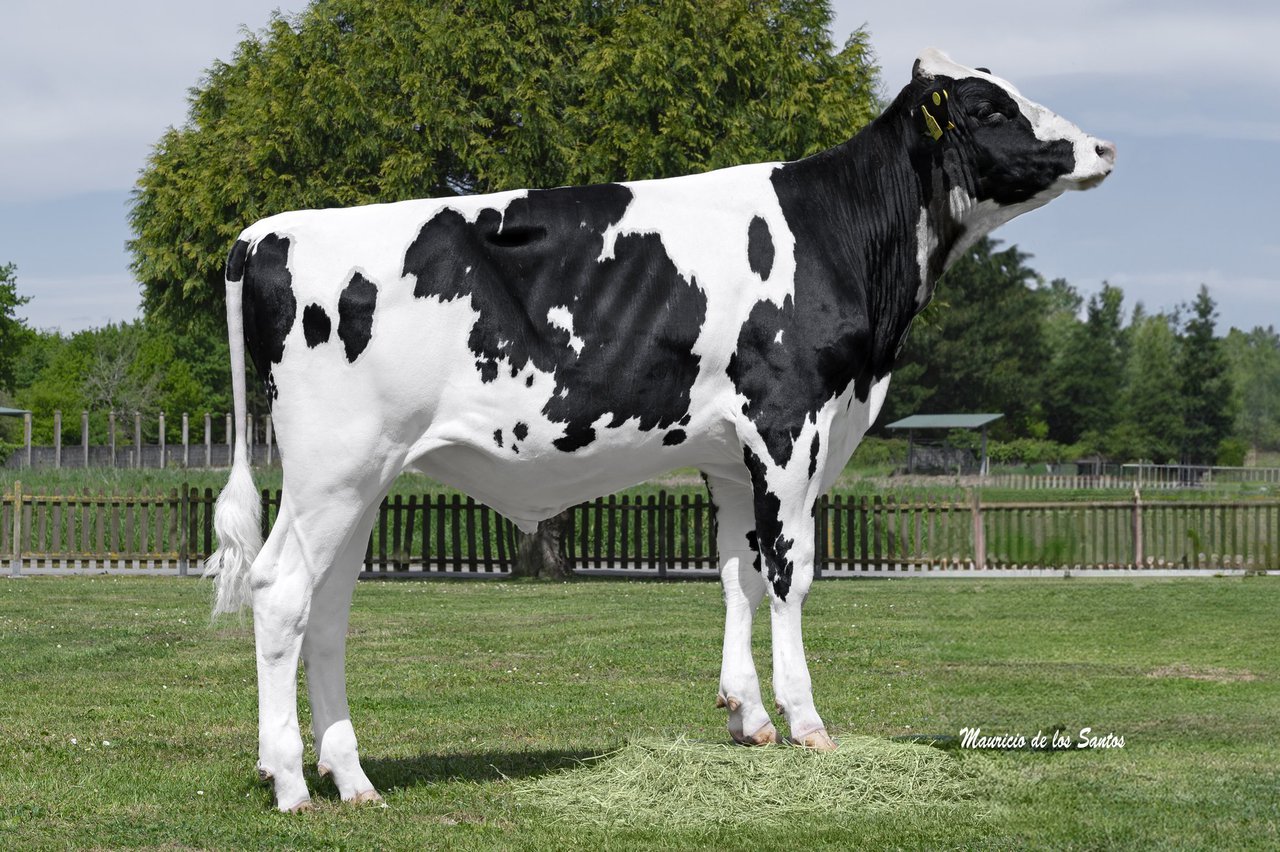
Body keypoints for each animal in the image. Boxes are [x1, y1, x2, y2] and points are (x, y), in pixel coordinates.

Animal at [207, 49, 1114, 810]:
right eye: (991, 107)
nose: (1103, 146)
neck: (839, 237)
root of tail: (267, 231)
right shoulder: (788, 422)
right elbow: (791, 574)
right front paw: (807, 724)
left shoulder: (732, 454)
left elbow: (738, 574)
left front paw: (746, 716)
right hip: (333, 464)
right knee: (281, 591)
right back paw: (291, 782)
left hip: (364, 475)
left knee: (326, 608)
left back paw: (350, 776)